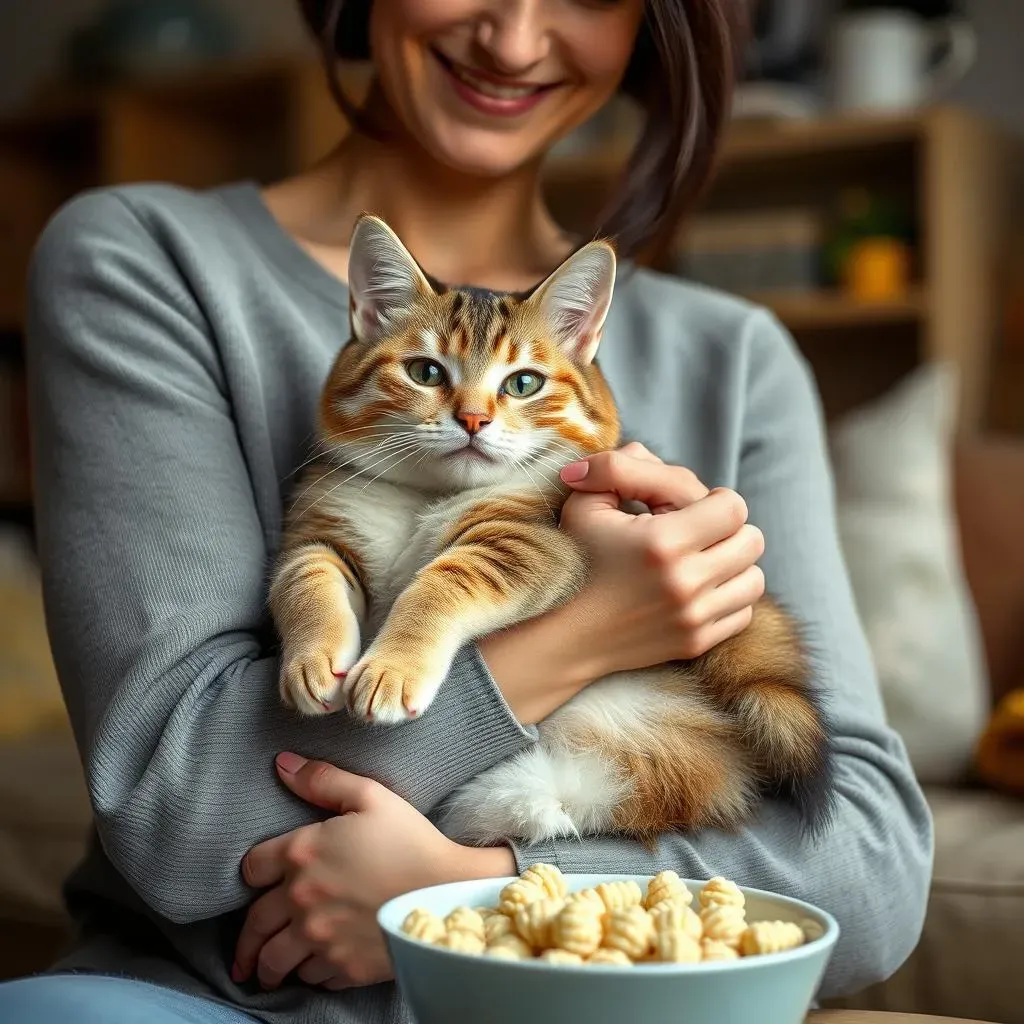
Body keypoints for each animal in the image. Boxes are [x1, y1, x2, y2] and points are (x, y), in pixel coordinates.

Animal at [268, 211, 835, 843]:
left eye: (523, 383)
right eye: (425, 371)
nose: (473, 419)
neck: (430, 497)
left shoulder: (539, 541)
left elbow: (445, 581)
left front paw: (394, 666)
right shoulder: (322, 525)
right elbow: (305, 577)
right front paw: (310, 659)